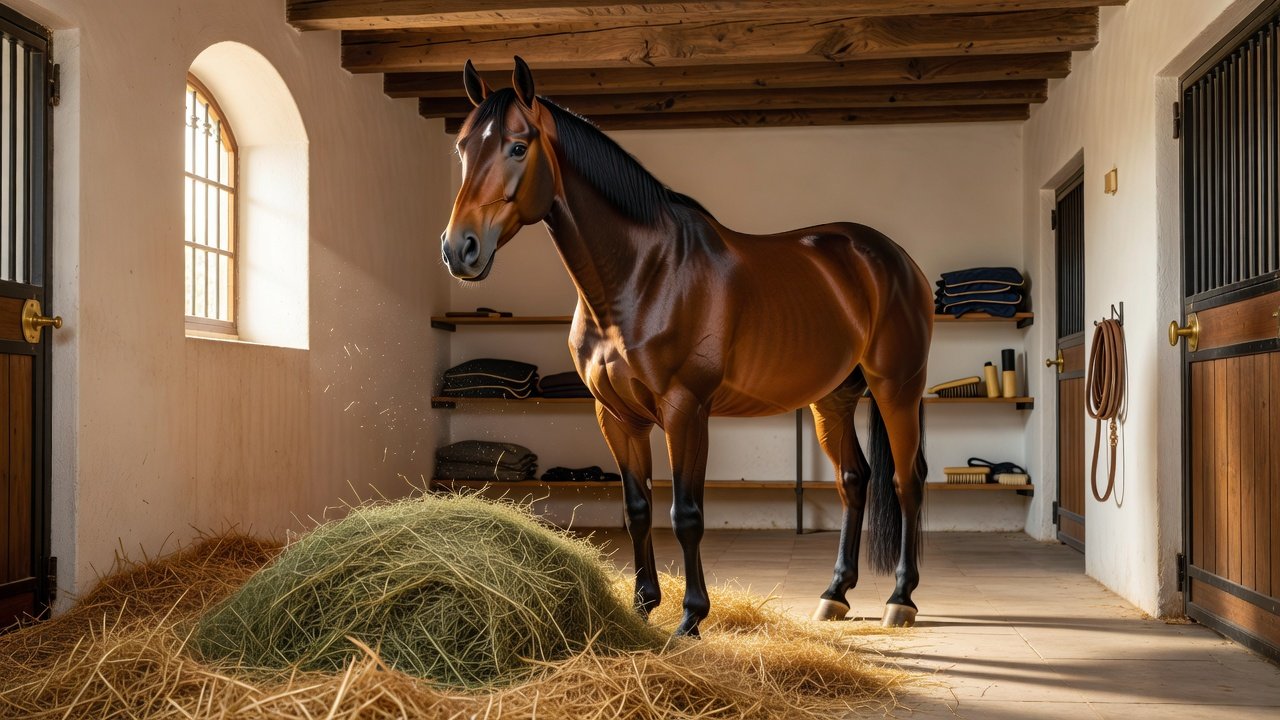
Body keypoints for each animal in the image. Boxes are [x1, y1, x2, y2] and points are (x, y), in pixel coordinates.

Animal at [440, 57, 933, 637]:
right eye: (462, 149)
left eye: (518, 147)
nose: (459, 249)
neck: (642, 276)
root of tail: (890, 256)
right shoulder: (616, 417)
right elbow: (636, 508)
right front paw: (641, 604)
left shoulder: (685, 410)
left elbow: (686, 513)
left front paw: (691, 617)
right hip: (832, 398)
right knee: (854, 481)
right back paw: (834, 594)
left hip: (897, 388)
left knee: (906, 481)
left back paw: (900, 599)